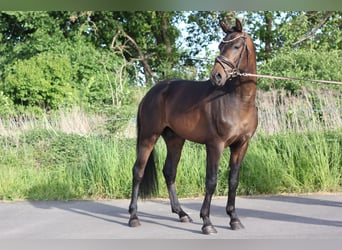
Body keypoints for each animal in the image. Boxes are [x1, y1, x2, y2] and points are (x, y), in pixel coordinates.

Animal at [128, 18, 256, 234]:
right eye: (220, 46)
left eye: (236, 46)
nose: (217, 76)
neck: (237, 100)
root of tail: (151, 93)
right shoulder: (215, 145)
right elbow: (211, 181)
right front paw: (207, 222)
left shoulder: (241, 145)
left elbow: (233, 181)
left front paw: (234, 219)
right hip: (148, 137)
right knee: (138, 171)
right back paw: (133, 217)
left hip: (175, 140)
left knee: (169, 172)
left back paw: (181, 213)